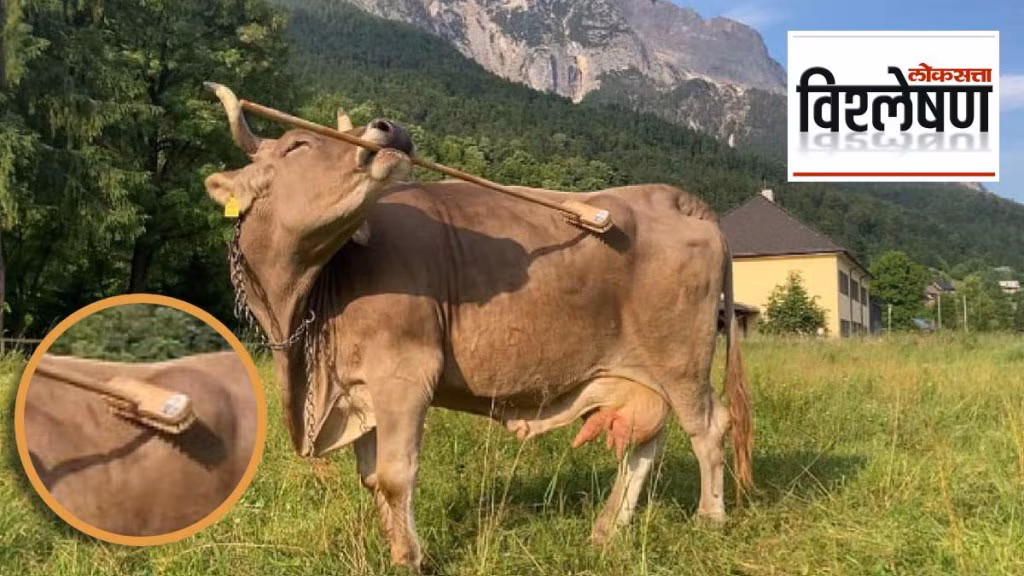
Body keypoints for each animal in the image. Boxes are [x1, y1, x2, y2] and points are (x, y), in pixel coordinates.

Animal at [203, 83, 752, 569]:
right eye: (296, 145)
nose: (389, 127)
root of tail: (671, 197)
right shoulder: (357, 389)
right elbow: (372, 478)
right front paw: (393, 547)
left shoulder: (404, 374)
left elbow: (395, 475)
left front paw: (410, 559)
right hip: (641, 372)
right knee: (646, 441)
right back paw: (606, 529)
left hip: (681, 360)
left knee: (708, 427)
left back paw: (709, 519)